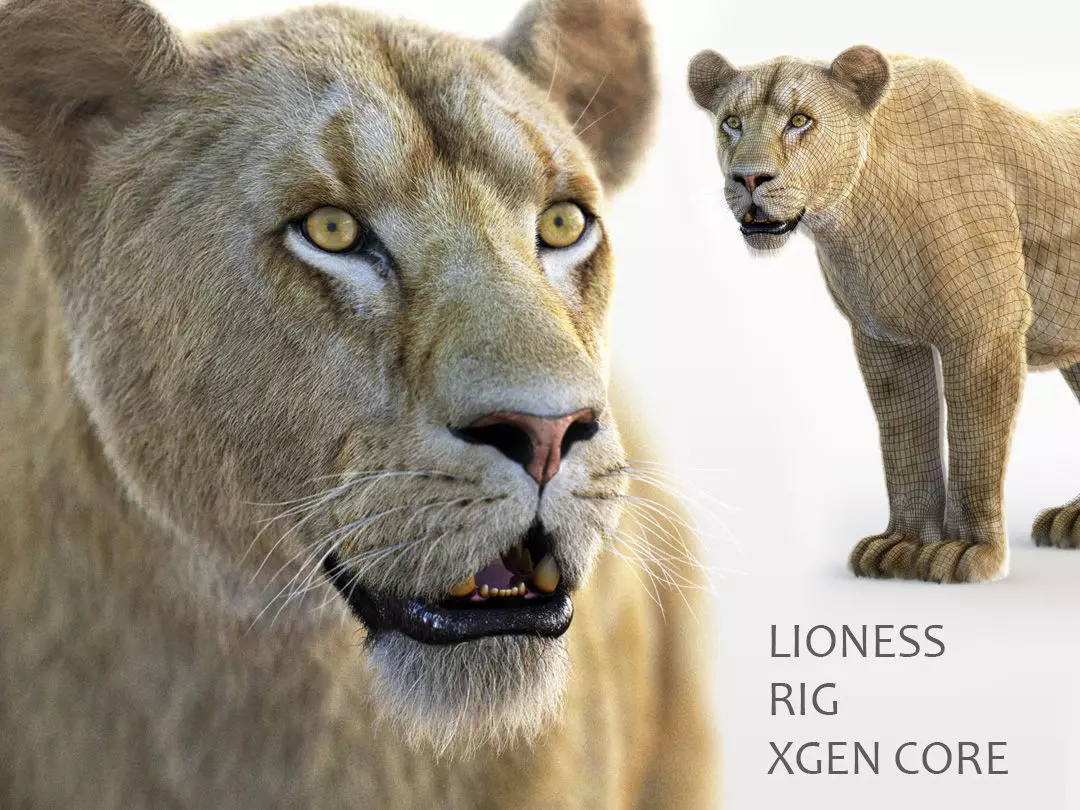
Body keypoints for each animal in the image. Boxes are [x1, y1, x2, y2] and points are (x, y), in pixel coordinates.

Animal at [689, 44, 1080, 584]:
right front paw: (904, 545)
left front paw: (969, 552)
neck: (855, 218)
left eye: (799, 120)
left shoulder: (985, 329)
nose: (747, 177)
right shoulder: (885, 341)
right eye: (732, 122)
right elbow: (905, 444)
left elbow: (975, 444)